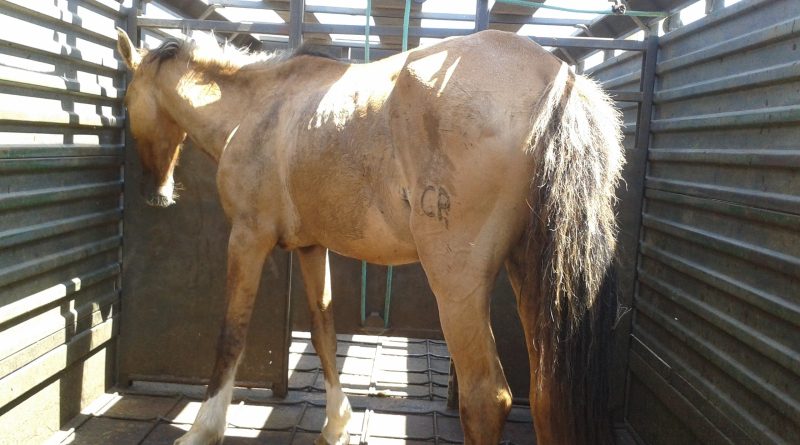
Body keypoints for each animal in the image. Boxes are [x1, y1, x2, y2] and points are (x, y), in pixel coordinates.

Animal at [115, 27, 620, 444]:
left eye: (126, 100)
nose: (156, 192)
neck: (259, 106)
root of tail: (558, 79)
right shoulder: (310, 247)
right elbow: (323, 330)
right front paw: (336, 423)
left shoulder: (247, 237)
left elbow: (231, 333)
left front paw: (203, 429)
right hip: (531, 277)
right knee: (545, 397)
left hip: (457, 284)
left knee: (485, 399)